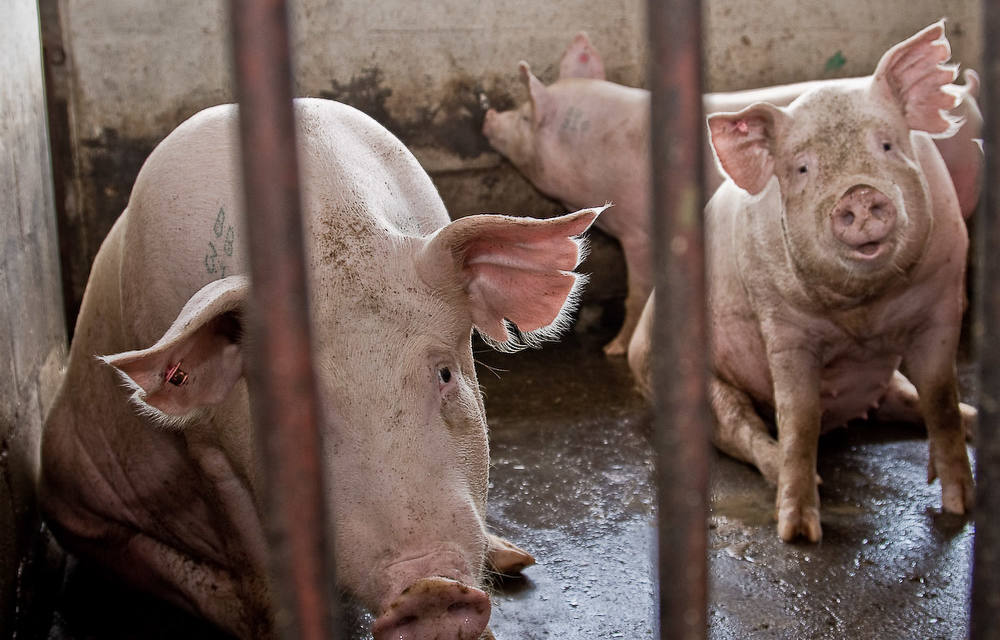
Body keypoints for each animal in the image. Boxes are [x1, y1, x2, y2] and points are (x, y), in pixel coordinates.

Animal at [484, 31, 984, 360]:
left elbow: (638, 288)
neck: (593, 149)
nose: (488, 116)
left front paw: (613, 350)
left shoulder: (638, 231)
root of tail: (965, 94)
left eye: (526, 117)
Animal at [628, 20, 972, 544]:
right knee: (742, 429)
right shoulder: (782, 324)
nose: (859, 193)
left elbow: (940, 397)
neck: (863, 313)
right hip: (683, 381)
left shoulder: (944, 301)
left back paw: (979, 418)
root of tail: (633, 345)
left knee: (904, 396)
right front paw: (798, 532)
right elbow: (799, 418)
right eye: (802, 168)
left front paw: (961, 507)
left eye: (887, 144)